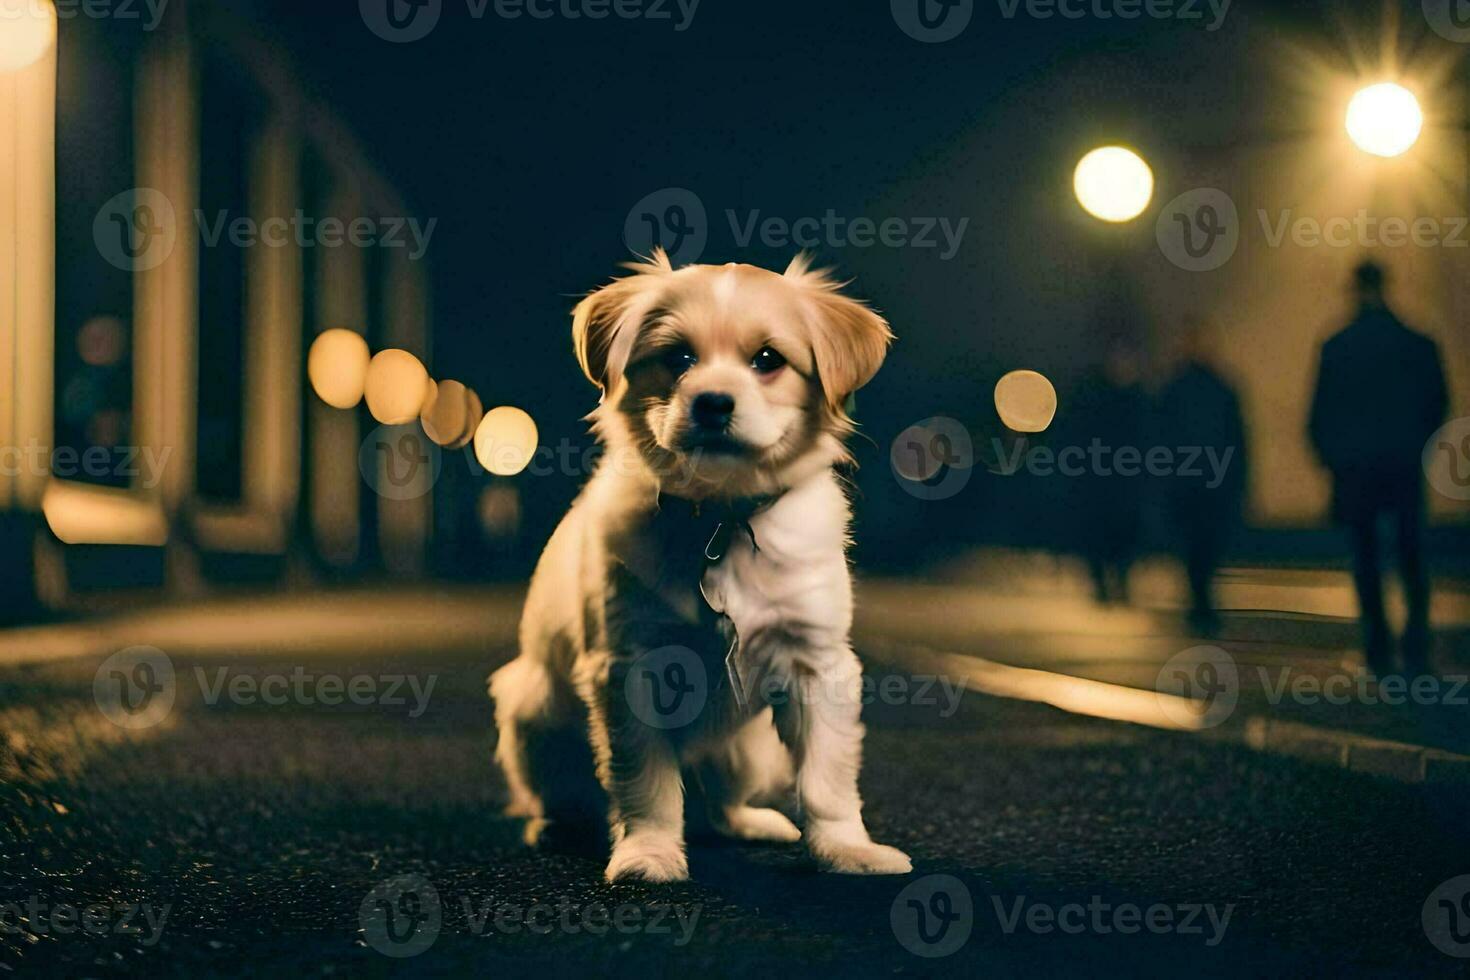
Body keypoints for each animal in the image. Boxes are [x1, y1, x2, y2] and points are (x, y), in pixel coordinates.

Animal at [493, 251, 905, 881]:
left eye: (768, 360)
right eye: (678, 357)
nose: (712, 401)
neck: (719, 517)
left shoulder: (817, 665)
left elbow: (827, 780)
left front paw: (846, 850)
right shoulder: (631, 668)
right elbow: (646, 783)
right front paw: (649, 853)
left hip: (748, 751)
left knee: (719, 805)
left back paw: (753, 822)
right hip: (533, 716)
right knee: (565, 795)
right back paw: (553, 826)